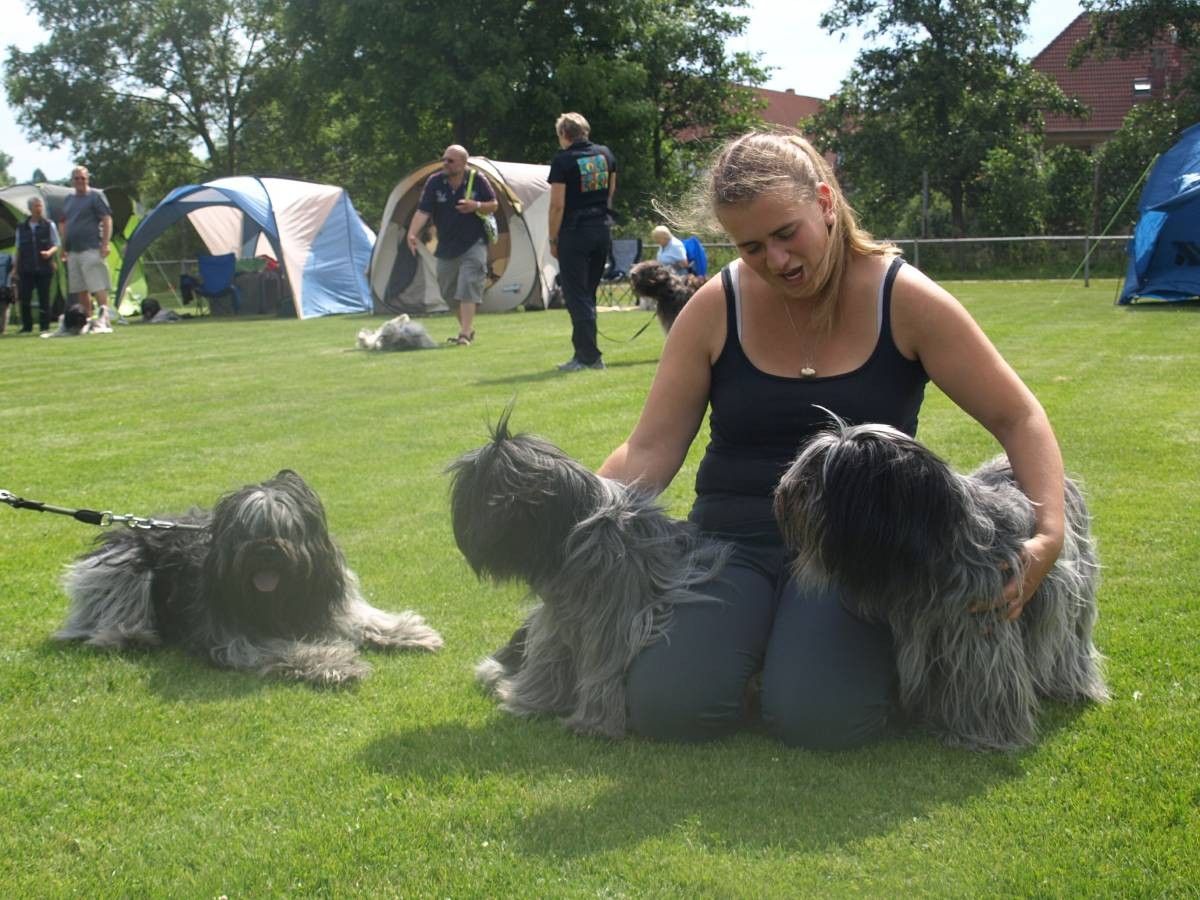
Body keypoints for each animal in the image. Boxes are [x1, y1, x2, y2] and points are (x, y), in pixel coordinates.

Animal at [54, 472, 444, 681]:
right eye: (246, 531)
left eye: (285, 528)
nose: (266, 550)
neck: (281, 599)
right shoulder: (235, 637)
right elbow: (289, 649)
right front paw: (336, 662)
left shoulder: (327, 599)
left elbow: (364, 618)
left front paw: (409, 633)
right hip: (123, 566)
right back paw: (129, 635)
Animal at [451, 408, 729, 739]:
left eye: (474, 491)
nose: (460, 529)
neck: (580, 526)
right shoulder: (559, 615)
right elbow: (549, 658)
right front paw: (532, 701)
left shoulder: (613, 616)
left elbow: (600, 666)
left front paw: (593, 724)